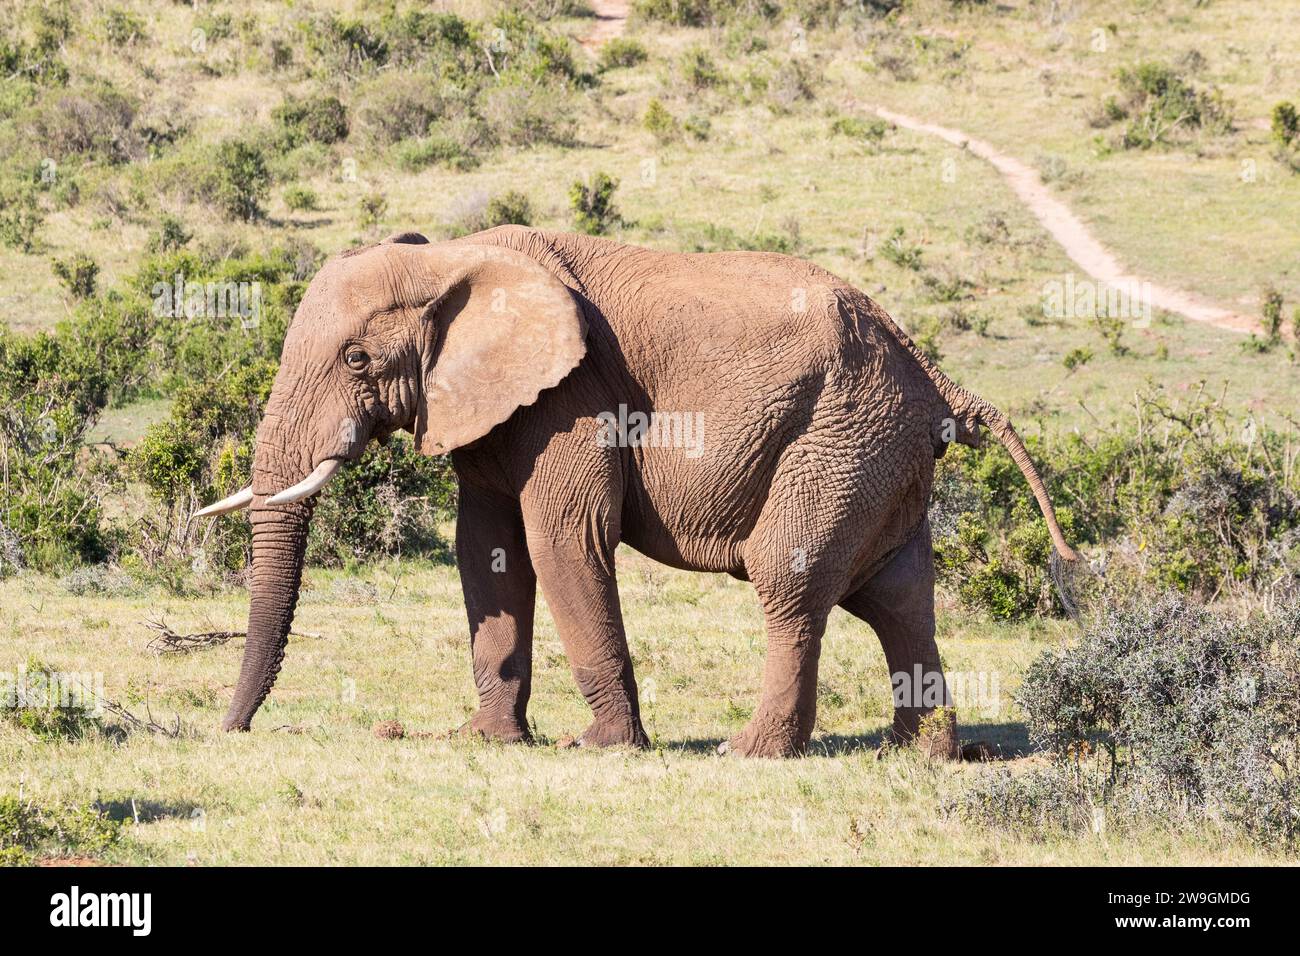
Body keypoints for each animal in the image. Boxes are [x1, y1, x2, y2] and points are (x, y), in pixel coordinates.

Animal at [198, 226, 1076, 758]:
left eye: (355, 360)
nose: (230, 732)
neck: (452, 257)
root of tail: (932, 372)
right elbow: (487, 551)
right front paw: (486, 740)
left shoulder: (573, 397)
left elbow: (563, 540)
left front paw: (601, 748)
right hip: (883, 452)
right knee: (900, 596)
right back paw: (918, 752)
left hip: (842, 438)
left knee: (791, 583)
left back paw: (749, 753)